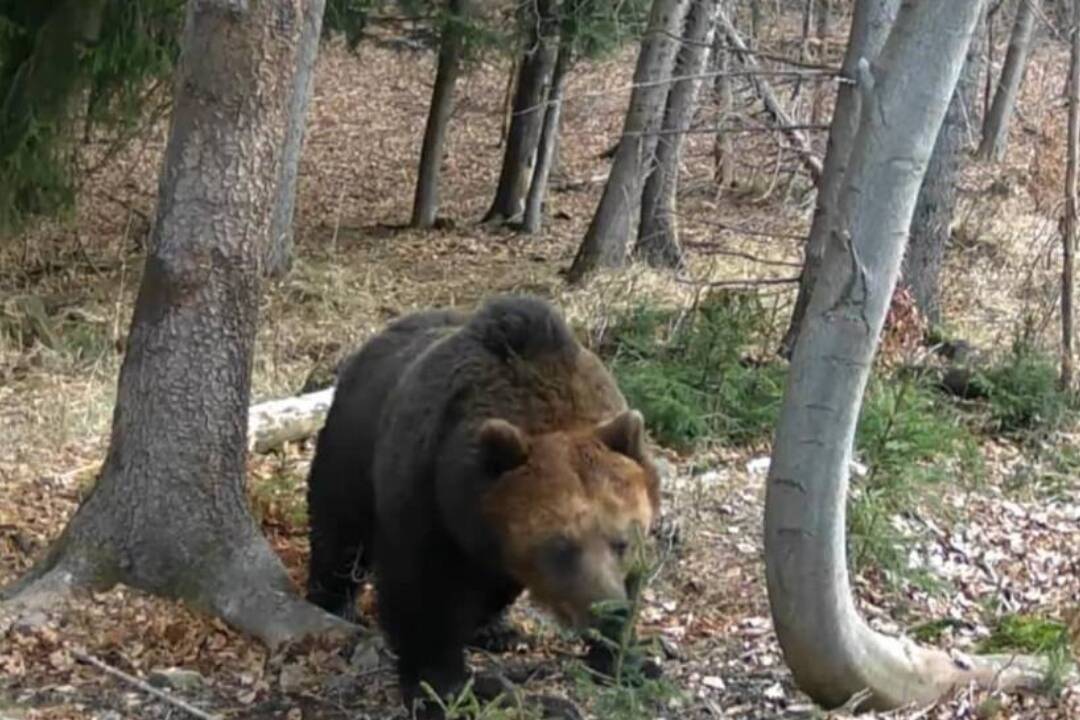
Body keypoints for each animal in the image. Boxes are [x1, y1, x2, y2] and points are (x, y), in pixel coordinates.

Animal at [302, 295, 656, 712]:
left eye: (622, 542)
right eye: (560, 546)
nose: (606, 606)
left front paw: (625, 661)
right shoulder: (425, 493)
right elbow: (423, 592)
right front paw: (444, 687)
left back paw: (496, 629)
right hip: (352, 446)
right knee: (339, 533)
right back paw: (333, 602)